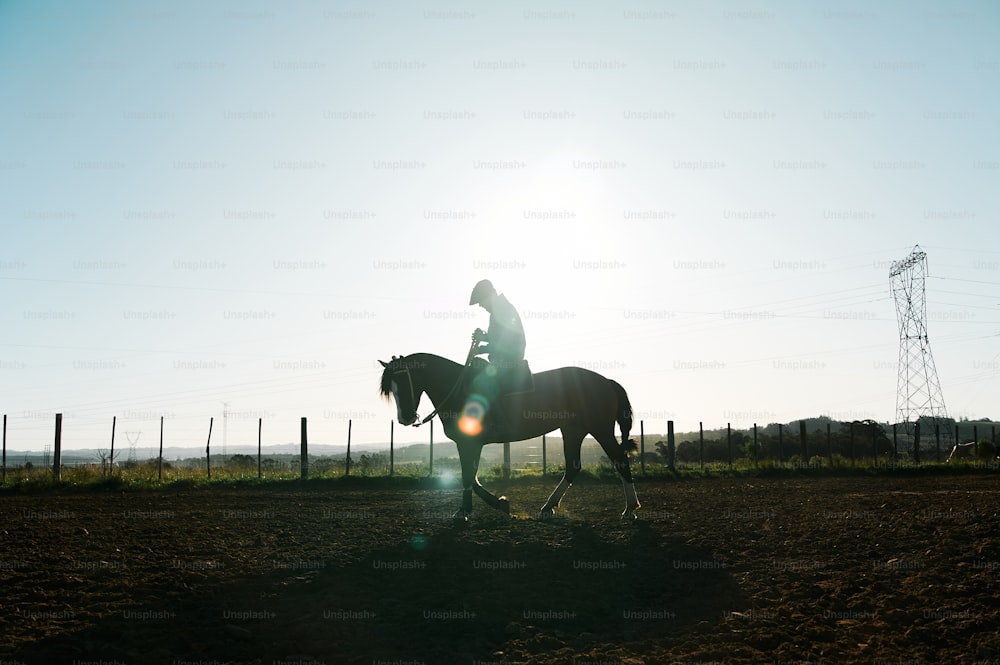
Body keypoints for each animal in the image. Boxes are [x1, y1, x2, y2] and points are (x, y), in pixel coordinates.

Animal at [376, 350, 640, 520]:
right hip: (573, 430)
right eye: (392, 388)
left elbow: (468, 476)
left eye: (405, 380)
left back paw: (630, 509)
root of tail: (606, 381)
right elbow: (472, 477)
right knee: (573, 467)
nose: (405, 418)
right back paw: (548, 507)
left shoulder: (469, 442)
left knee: (620, 460)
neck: (458, 389)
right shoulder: (471, 443)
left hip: (600, 430)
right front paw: (498, 504)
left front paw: (467, 510)